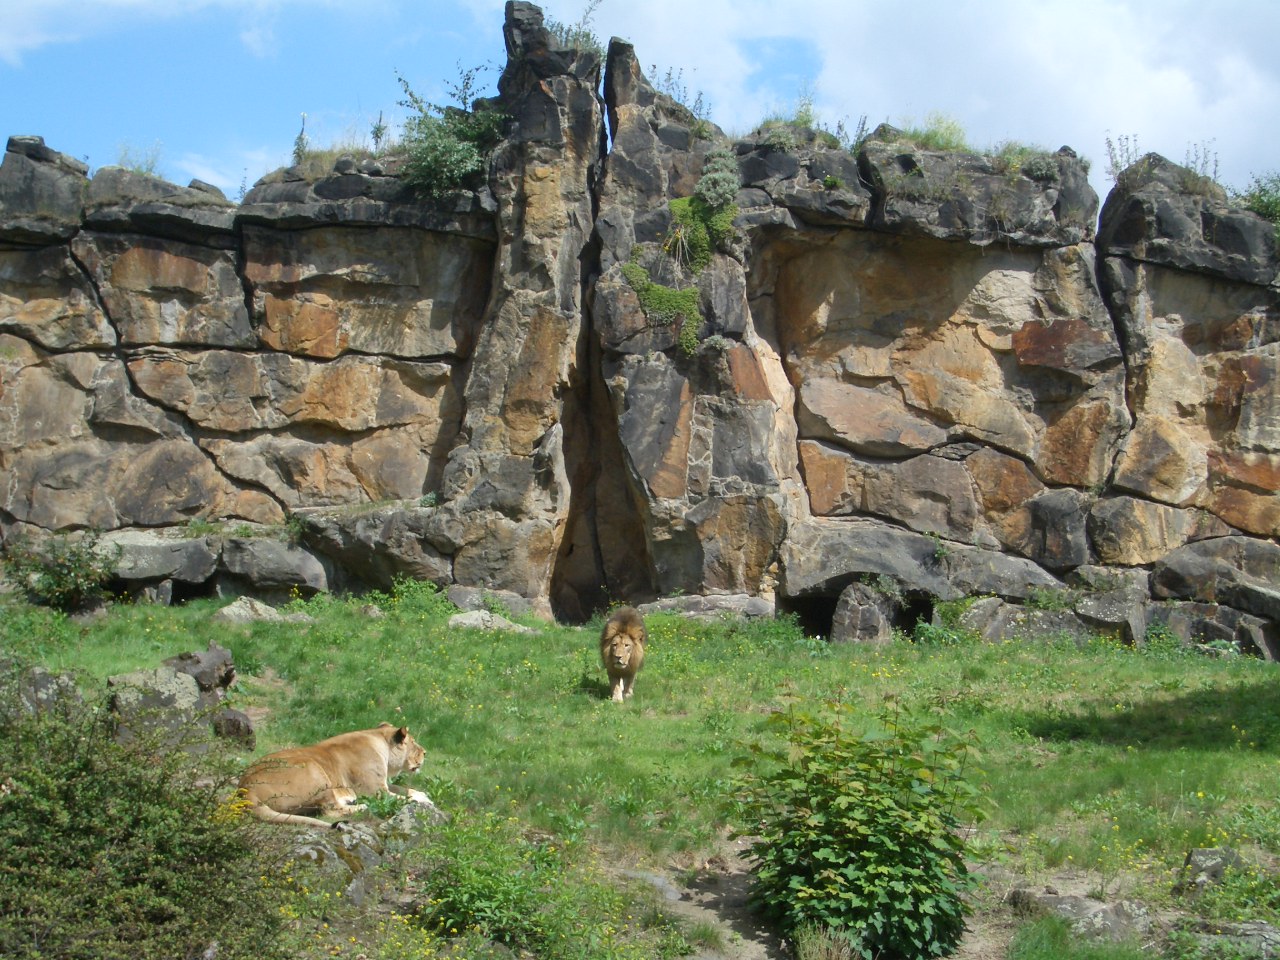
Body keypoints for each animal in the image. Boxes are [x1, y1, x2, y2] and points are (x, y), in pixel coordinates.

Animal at [237, 722, 430, 828]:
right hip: (314, 771)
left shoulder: (383, 783)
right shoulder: (375, 792)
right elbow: (403, 797)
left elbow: (406, 789)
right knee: (328, 810)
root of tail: (245, 789)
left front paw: (423, 794)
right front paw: (425, 801)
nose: (425, 752)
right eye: (413, 742)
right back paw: (359, 806)